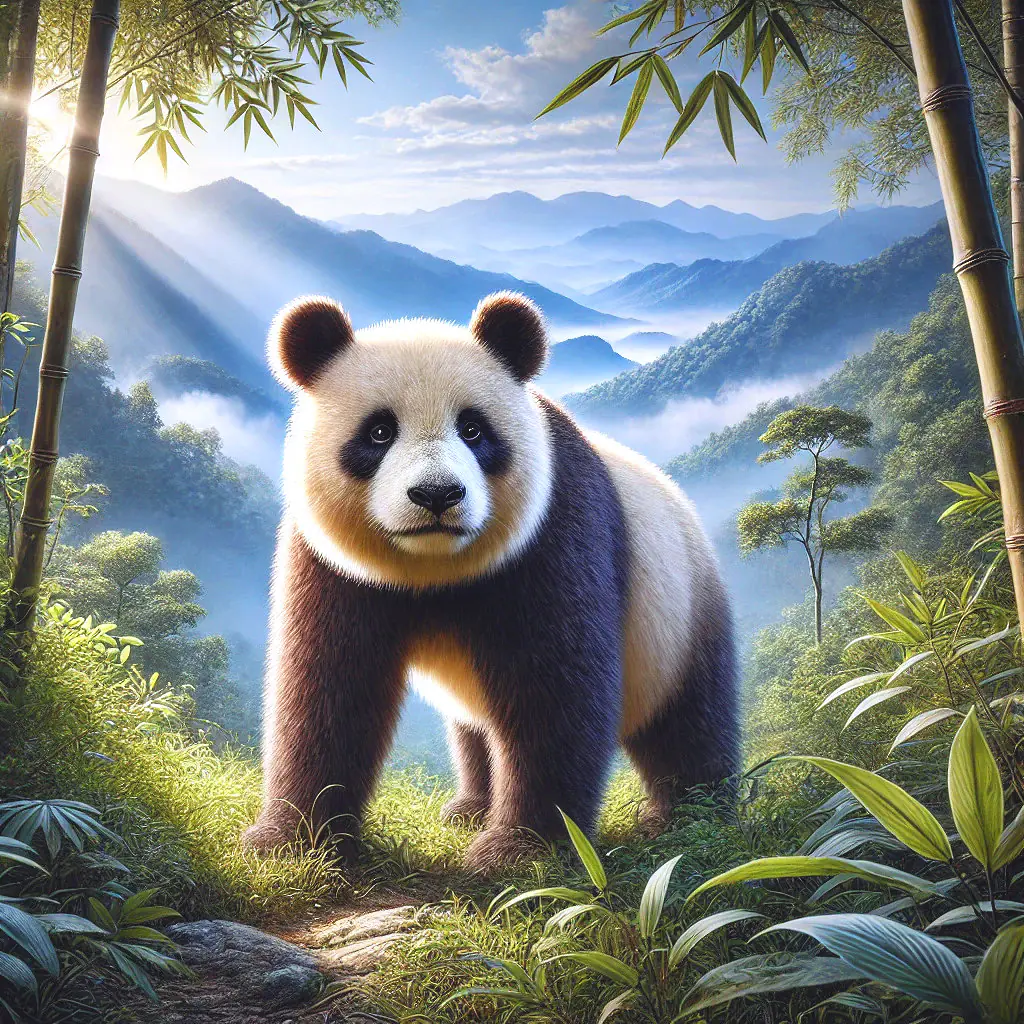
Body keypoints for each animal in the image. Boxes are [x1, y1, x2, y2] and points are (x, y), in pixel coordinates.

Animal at [242, 291, 738, 872]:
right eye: (380, 431)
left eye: (473, 429)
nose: (437, 494)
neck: (436, 567)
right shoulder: (334, 564)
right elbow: (330, 685)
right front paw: (290, 842)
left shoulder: (552, 532)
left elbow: (555, 692)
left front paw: (518, 852)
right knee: (477, 727)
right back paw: (470, 808)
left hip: (677, 616)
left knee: (689, 721)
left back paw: (689, 818)